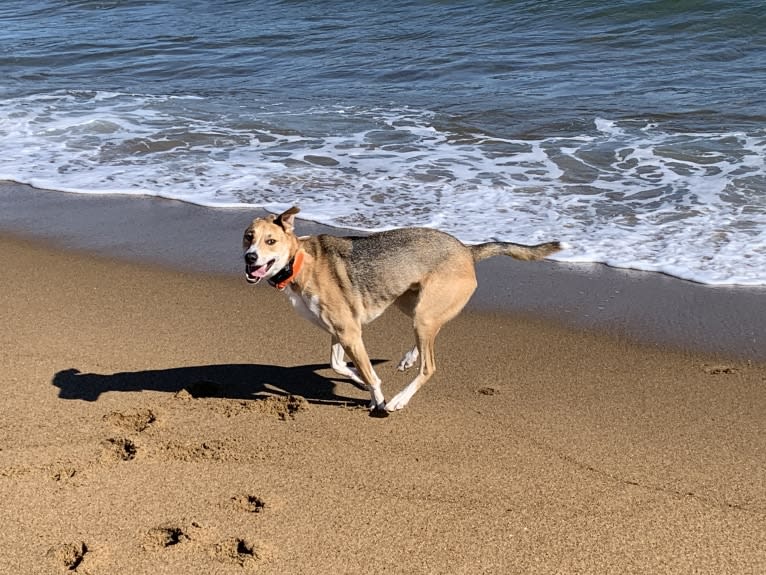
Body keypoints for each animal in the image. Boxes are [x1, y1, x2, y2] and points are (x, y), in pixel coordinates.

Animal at [246, 209, 564, 416]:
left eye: (270, 241)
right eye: (248, 237)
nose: (249, 257)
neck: (298, 261)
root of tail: (467, 250)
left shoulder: (349, 332)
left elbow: (371, 376)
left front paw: (378, 398)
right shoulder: (340, 331)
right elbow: (340, 365)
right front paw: (358, 378)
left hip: (423, 314)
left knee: (429, 365)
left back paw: (399, 399)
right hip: (412, 303)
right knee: (426, 339)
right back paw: (409, 358)